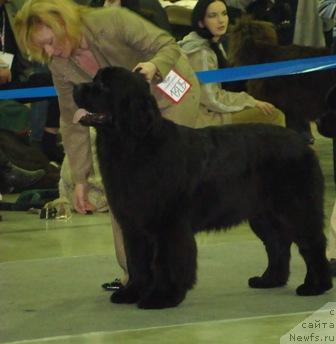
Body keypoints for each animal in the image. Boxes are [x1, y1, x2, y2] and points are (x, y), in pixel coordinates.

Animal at [72, 66, 332, 310]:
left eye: (103, 86)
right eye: (94, 80)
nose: (75, 87)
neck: (134, 144)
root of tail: (302, 143)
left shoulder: (168, 223)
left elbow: (166, 261)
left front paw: (162, 296)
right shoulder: (133, 224)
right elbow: (137, 262)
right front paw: (132, 293)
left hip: (296, 209)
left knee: (312, 244)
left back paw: (316, 286)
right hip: (263, 216)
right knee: (278, 244)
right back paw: (269, 280)